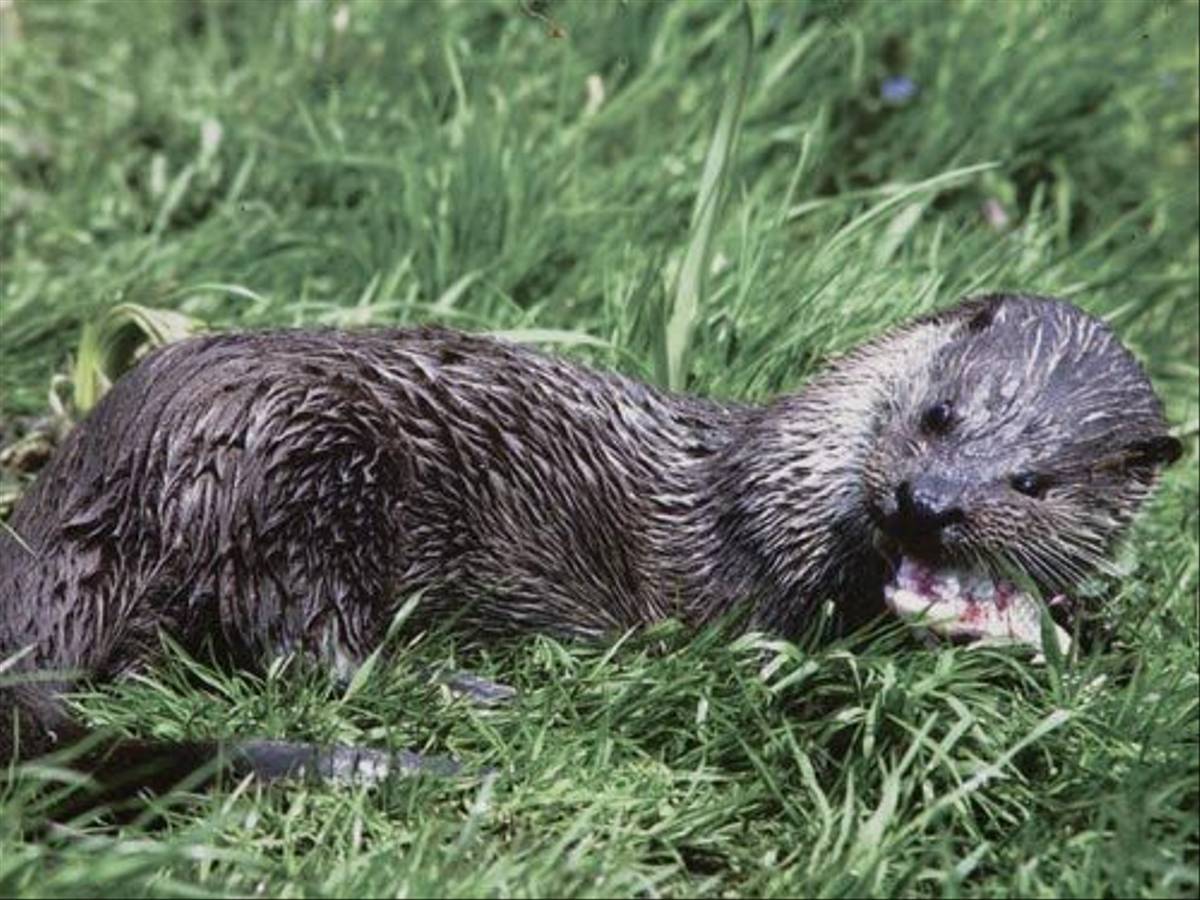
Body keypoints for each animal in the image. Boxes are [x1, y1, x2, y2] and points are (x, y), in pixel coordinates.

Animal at [0, 294, 1180, 811]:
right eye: (938, 414)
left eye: (1033, 484)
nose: (927, 504)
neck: (784, 480)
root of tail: (104, 465)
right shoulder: (758, 585)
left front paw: (1095, 636)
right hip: (301, 469)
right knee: (311, 646)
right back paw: (491, 694)